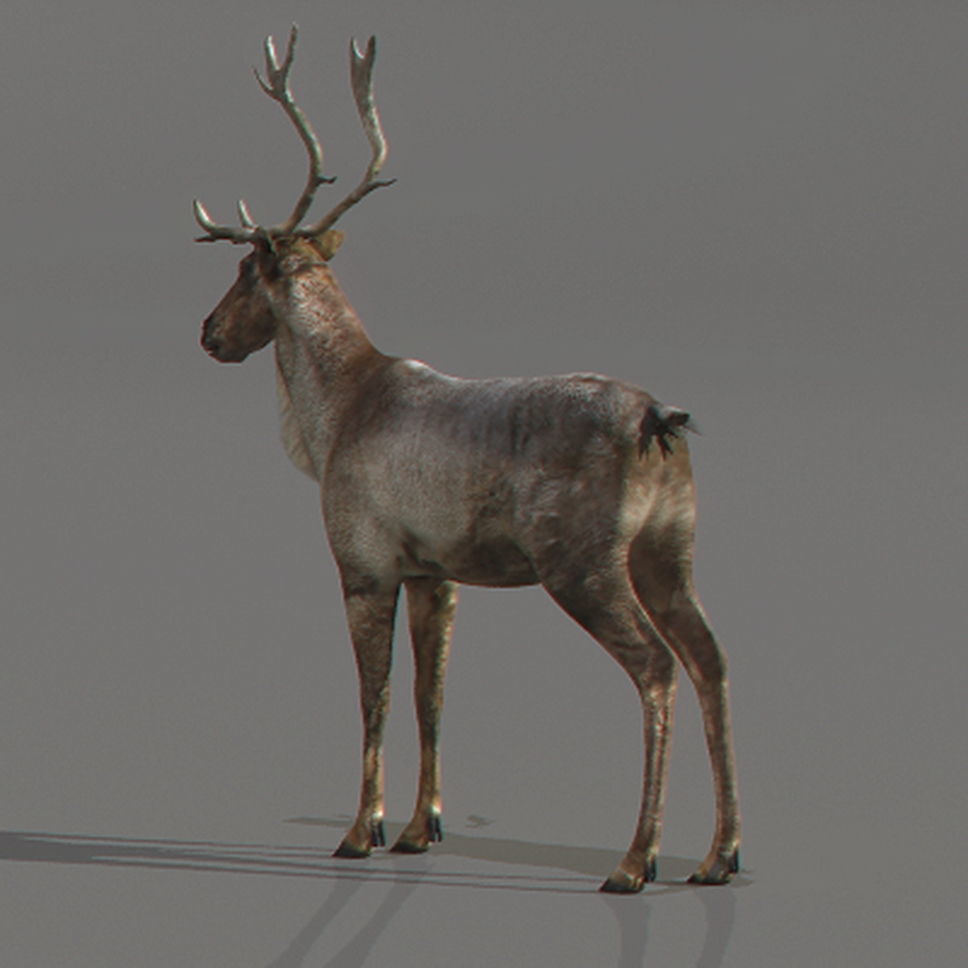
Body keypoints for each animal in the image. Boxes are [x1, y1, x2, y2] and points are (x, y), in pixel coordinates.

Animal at [193, 27, 740, 893]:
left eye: (245, 270)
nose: (208, 334)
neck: (330, 422)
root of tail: (659, 421)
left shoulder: (364, 558)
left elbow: (376, 694)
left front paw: (361, 832)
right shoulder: (436, 571)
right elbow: (432, 695)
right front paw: (422, 829)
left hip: (582, 560)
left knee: (657, 665)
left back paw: (635, 861)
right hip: (671, 546)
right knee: (711, 658)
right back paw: (721, 855)